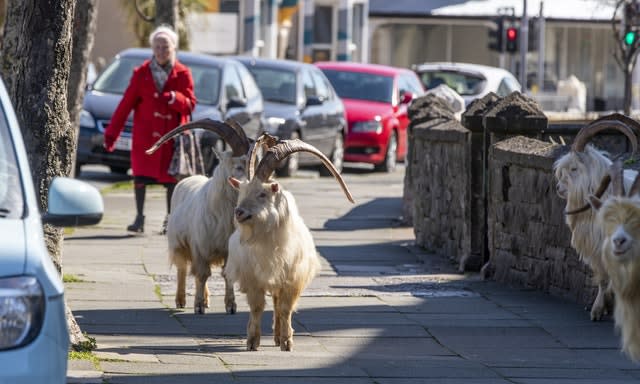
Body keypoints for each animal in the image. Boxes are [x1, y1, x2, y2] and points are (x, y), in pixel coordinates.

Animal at [146, 118, 251, 314]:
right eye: (238, 166)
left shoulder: (227, 249)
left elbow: (226, 274)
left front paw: (230, 306)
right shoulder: (200, 245)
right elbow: (202, 274)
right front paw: (198, 306)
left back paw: (207, 299)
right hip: (179, 243)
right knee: (183, 269)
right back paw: (181, 300)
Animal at [225, 135, 356, 352]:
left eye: (262, 194)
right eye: (241, 192)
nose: (239, 212)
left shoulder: (292, 278)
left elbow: (285, 308)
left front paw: (287, 342)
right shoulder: (253, 278)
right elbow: (257, 307)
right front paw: (252, 341)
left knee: (278, 304)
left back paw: (278, 337)